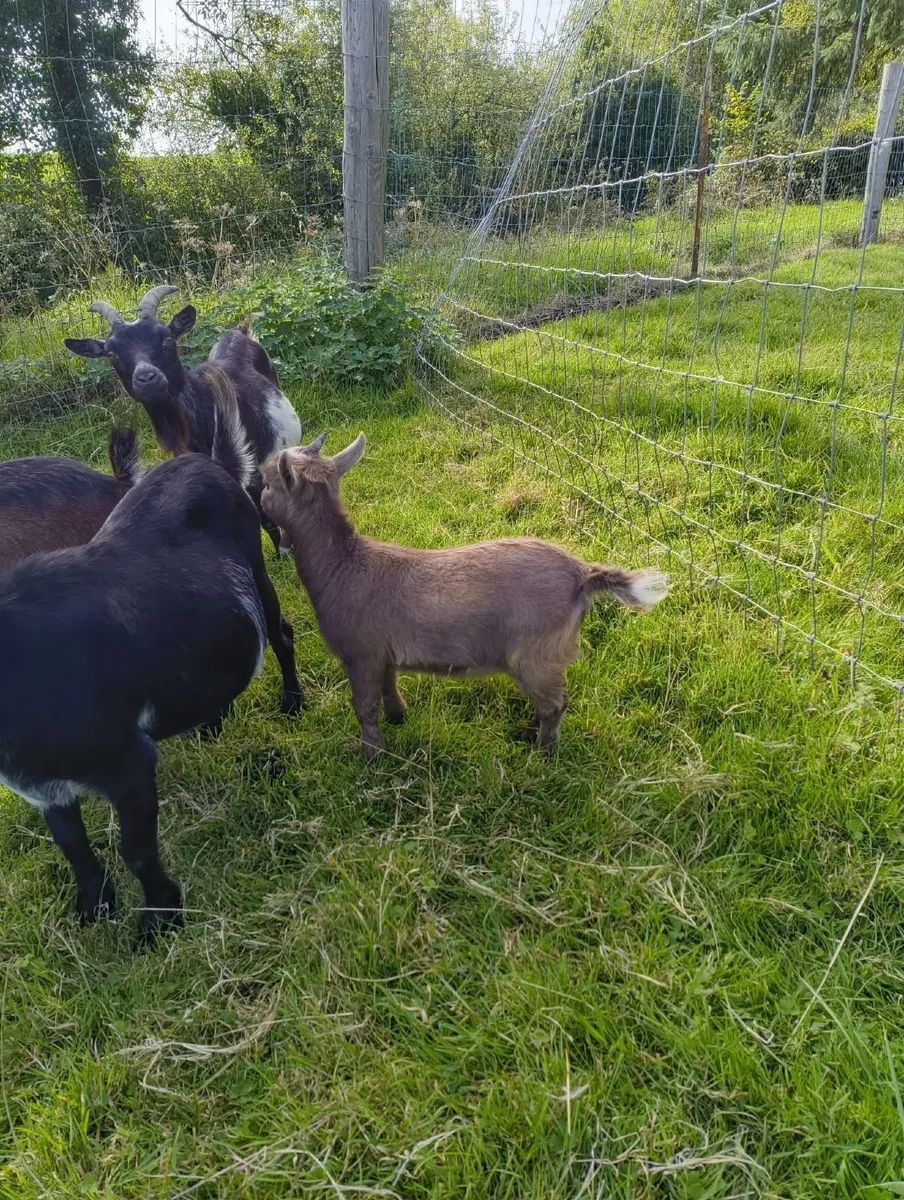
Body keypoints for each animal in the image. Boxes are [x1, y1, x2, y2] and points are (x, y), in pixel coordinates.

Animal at [63, 284, 301, 554]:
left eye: (167, 339)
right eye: (112, 353)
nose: (146, 378)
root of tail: (239, 332)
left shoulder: (252, 471)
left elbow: (266, 517)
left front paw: (283, 554)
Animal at [261, 433, 668, 760]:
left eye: (266, 484)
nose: (258, 499)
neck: (343, 567)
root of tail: (581, 575)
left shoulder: (359, 652)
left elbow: (364, 706)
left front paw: (371, 756)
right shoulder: (381, 652)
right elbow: (389, 686)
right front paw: (399, 717)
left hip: (536, 653)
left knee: (555, 704)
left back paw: (543, 754)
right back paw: (530, 734)